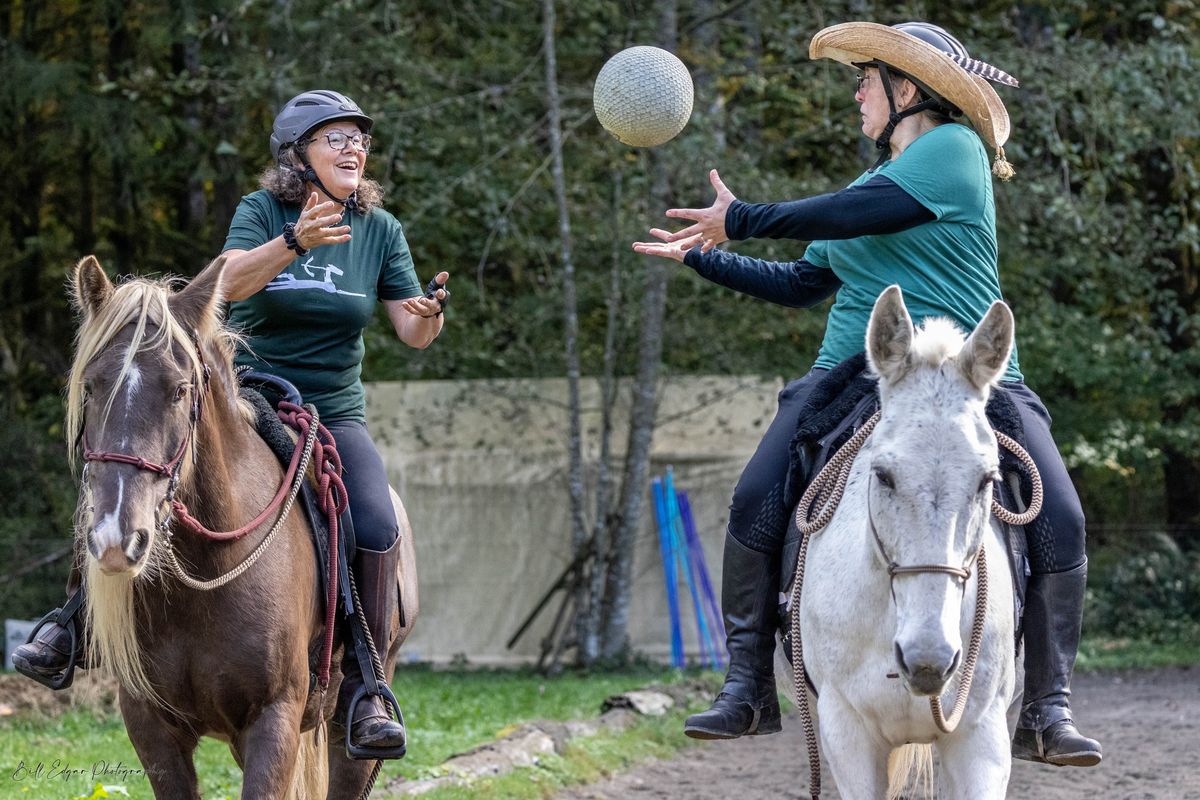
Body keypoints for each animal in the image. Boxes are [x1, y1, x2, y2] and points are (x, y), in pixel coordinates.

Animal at [69, 257, 422, 800]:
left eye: (180, 390)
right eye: (91, 386)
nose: (116, 538)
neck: (207, 573)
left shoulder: (273, 721)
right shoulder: (151, 726)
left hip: (350, 734)